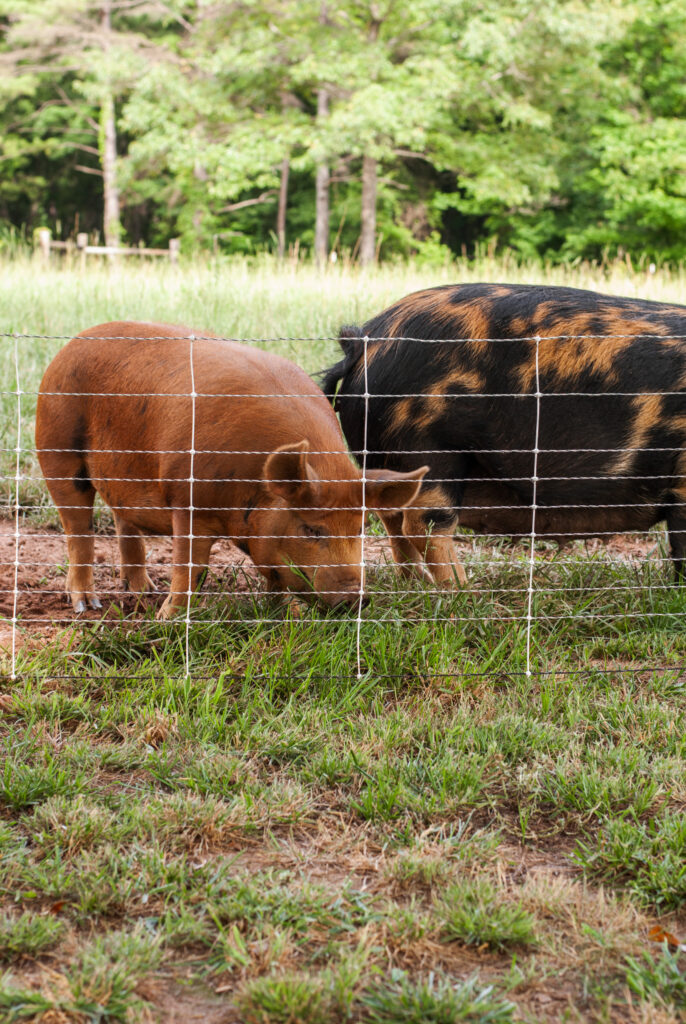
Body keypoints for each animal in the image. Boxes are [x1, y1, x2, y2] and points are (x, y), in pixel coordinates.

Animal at [36, 323, 430, 618]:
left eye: (361, 528)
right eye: (311, 528)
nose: (357, 599)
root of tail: (71, 345)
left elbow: (273, 575)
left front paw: (280, 615)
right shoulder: (187, 503)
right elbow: (191, 569)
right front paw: (168, 620)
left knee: (123, 522)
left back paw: (144, 591)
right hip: (57, 447)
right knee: (78, 531)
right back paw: (87, 606)